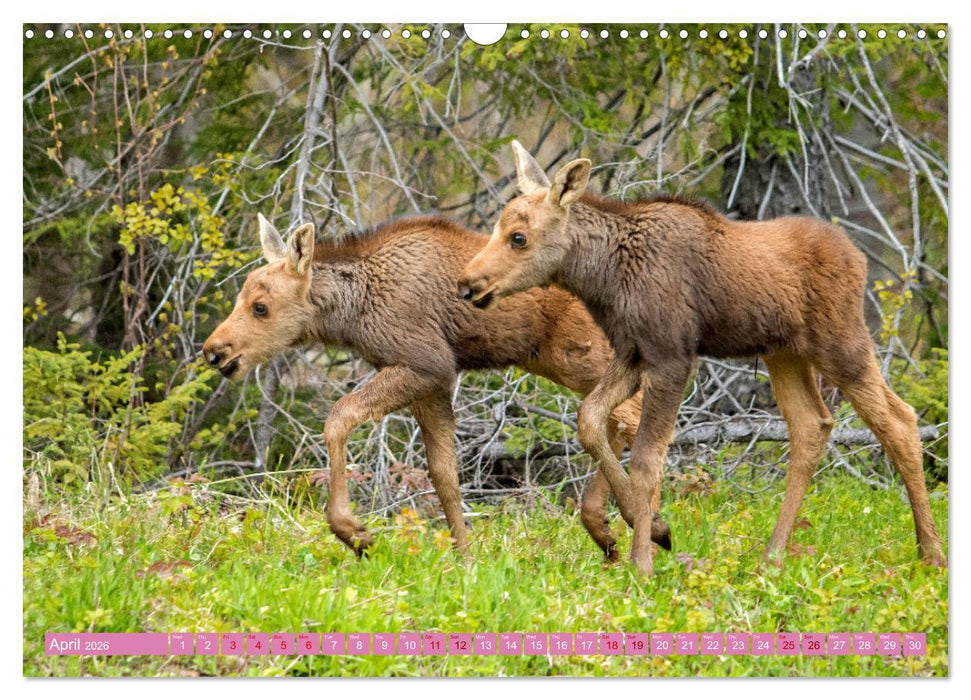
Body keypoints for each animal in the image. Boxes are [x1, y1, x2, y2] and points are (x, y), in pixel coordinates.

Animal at [202, 213, 672, 560]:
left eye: (261, 307)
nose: (213, 351)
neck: (353, 312)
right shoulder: (432, 384)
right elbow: (444, 473)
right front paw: (465, 559)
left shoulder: (425, 364)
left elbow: (339, 417)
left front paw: (354, 531)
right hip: (563, 361)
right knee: (614, 418)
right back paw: (609, 531)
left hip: (585, 356)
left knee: (633, 419)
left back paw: (648, 532)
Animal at [456, 140, 946, 577]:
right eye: (498, 227)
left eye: (519, 237)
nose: (466, 284)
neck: (605, 280)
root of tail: (858, 257)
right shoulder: (633, 353)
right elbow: (590, 420)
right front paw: (646, 528)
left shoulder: (673, 355)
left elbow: (647, 458)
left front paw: (642, 562)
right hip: (785, 352)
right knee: (813, 424)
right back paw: (772, 557)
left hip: (840, 341)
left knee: (899, 420)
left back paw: (931, 553)